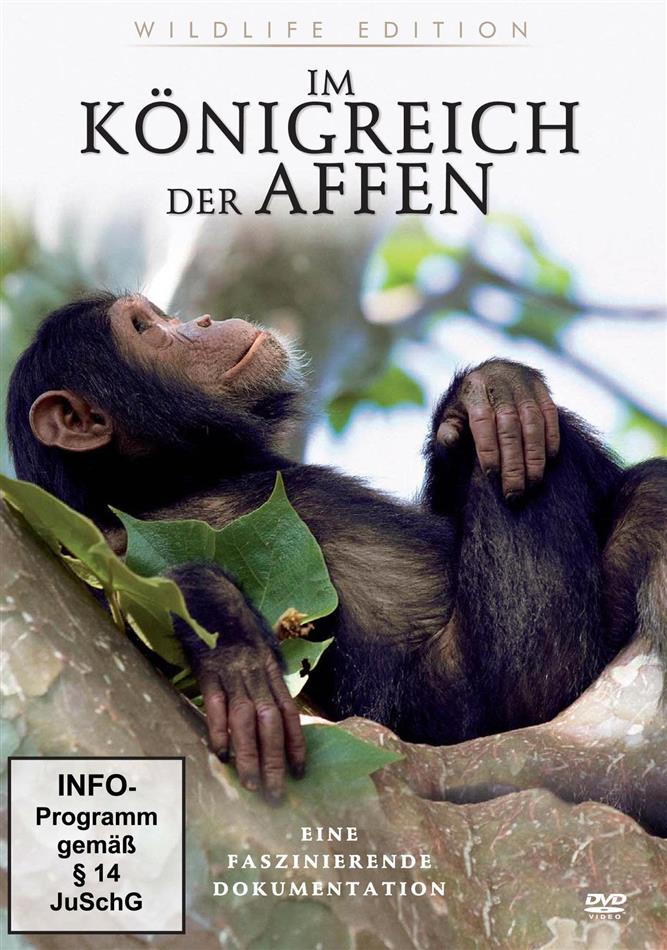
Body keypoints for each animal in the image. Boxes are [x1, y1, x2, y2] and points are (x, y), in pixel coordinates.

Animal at [6, 292, 666, 803]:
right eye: (144, 328)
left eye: (161, 316)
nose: (200, 320)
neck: (181, 477)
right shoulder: (94, 543)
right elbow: (124, 605)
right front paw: (233, 647)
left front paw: (494, 389)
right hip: (504, 692)